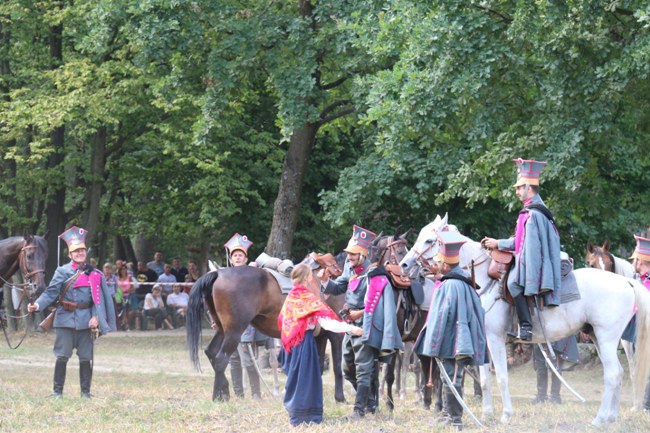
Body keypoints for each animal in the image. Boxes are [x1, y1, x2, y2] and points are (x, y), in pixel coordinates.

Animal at [400, 214, 648, 424]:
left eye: (429, 240)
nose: (404, 264)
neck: (484, 279)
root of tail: (627, 282)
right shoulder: (484, 340)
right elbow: (484, 379)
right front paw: (487, 414)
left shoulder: (495, 339)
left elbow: (501, 376)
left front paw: (505, 415)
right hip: (597, 337)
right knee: (618, 373)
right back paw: (611, 417)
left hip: (606, 339)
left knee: (613, 374)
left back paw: (600, 419)